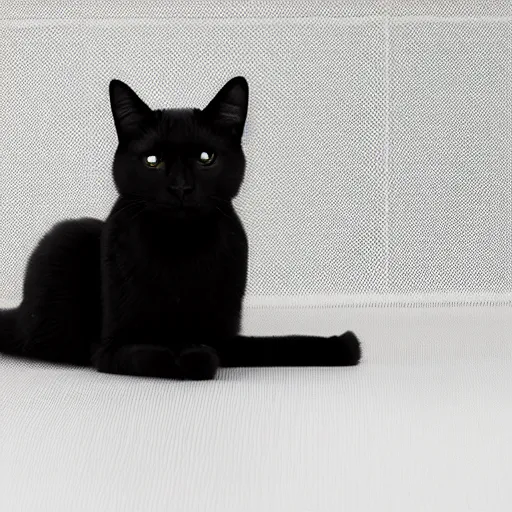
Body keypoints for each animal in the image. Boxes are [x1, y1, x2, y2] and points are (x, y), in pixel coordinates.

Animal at [0, 77, 360, 380]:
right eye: (152, 161)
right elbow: (158, 354)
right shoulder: (110, 349)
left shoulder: (225, 336)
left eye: (206, 157)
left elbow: (275, 344)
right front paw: (192, 354)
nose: (181, 187)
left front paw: (342, 345)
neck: (181, 246)